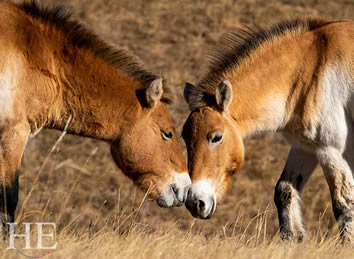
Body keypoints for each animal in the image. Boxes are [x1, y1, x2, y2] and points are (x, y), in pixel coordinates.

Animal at [183, 18, 354, 244]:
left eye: (216, 137)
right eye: (184, 138)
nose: (195, 203)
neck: (312, 65)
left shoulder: (332, 151)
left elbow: (344, 205)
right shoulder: (305, 148)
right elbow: (284, 191)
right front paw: (293, 238)